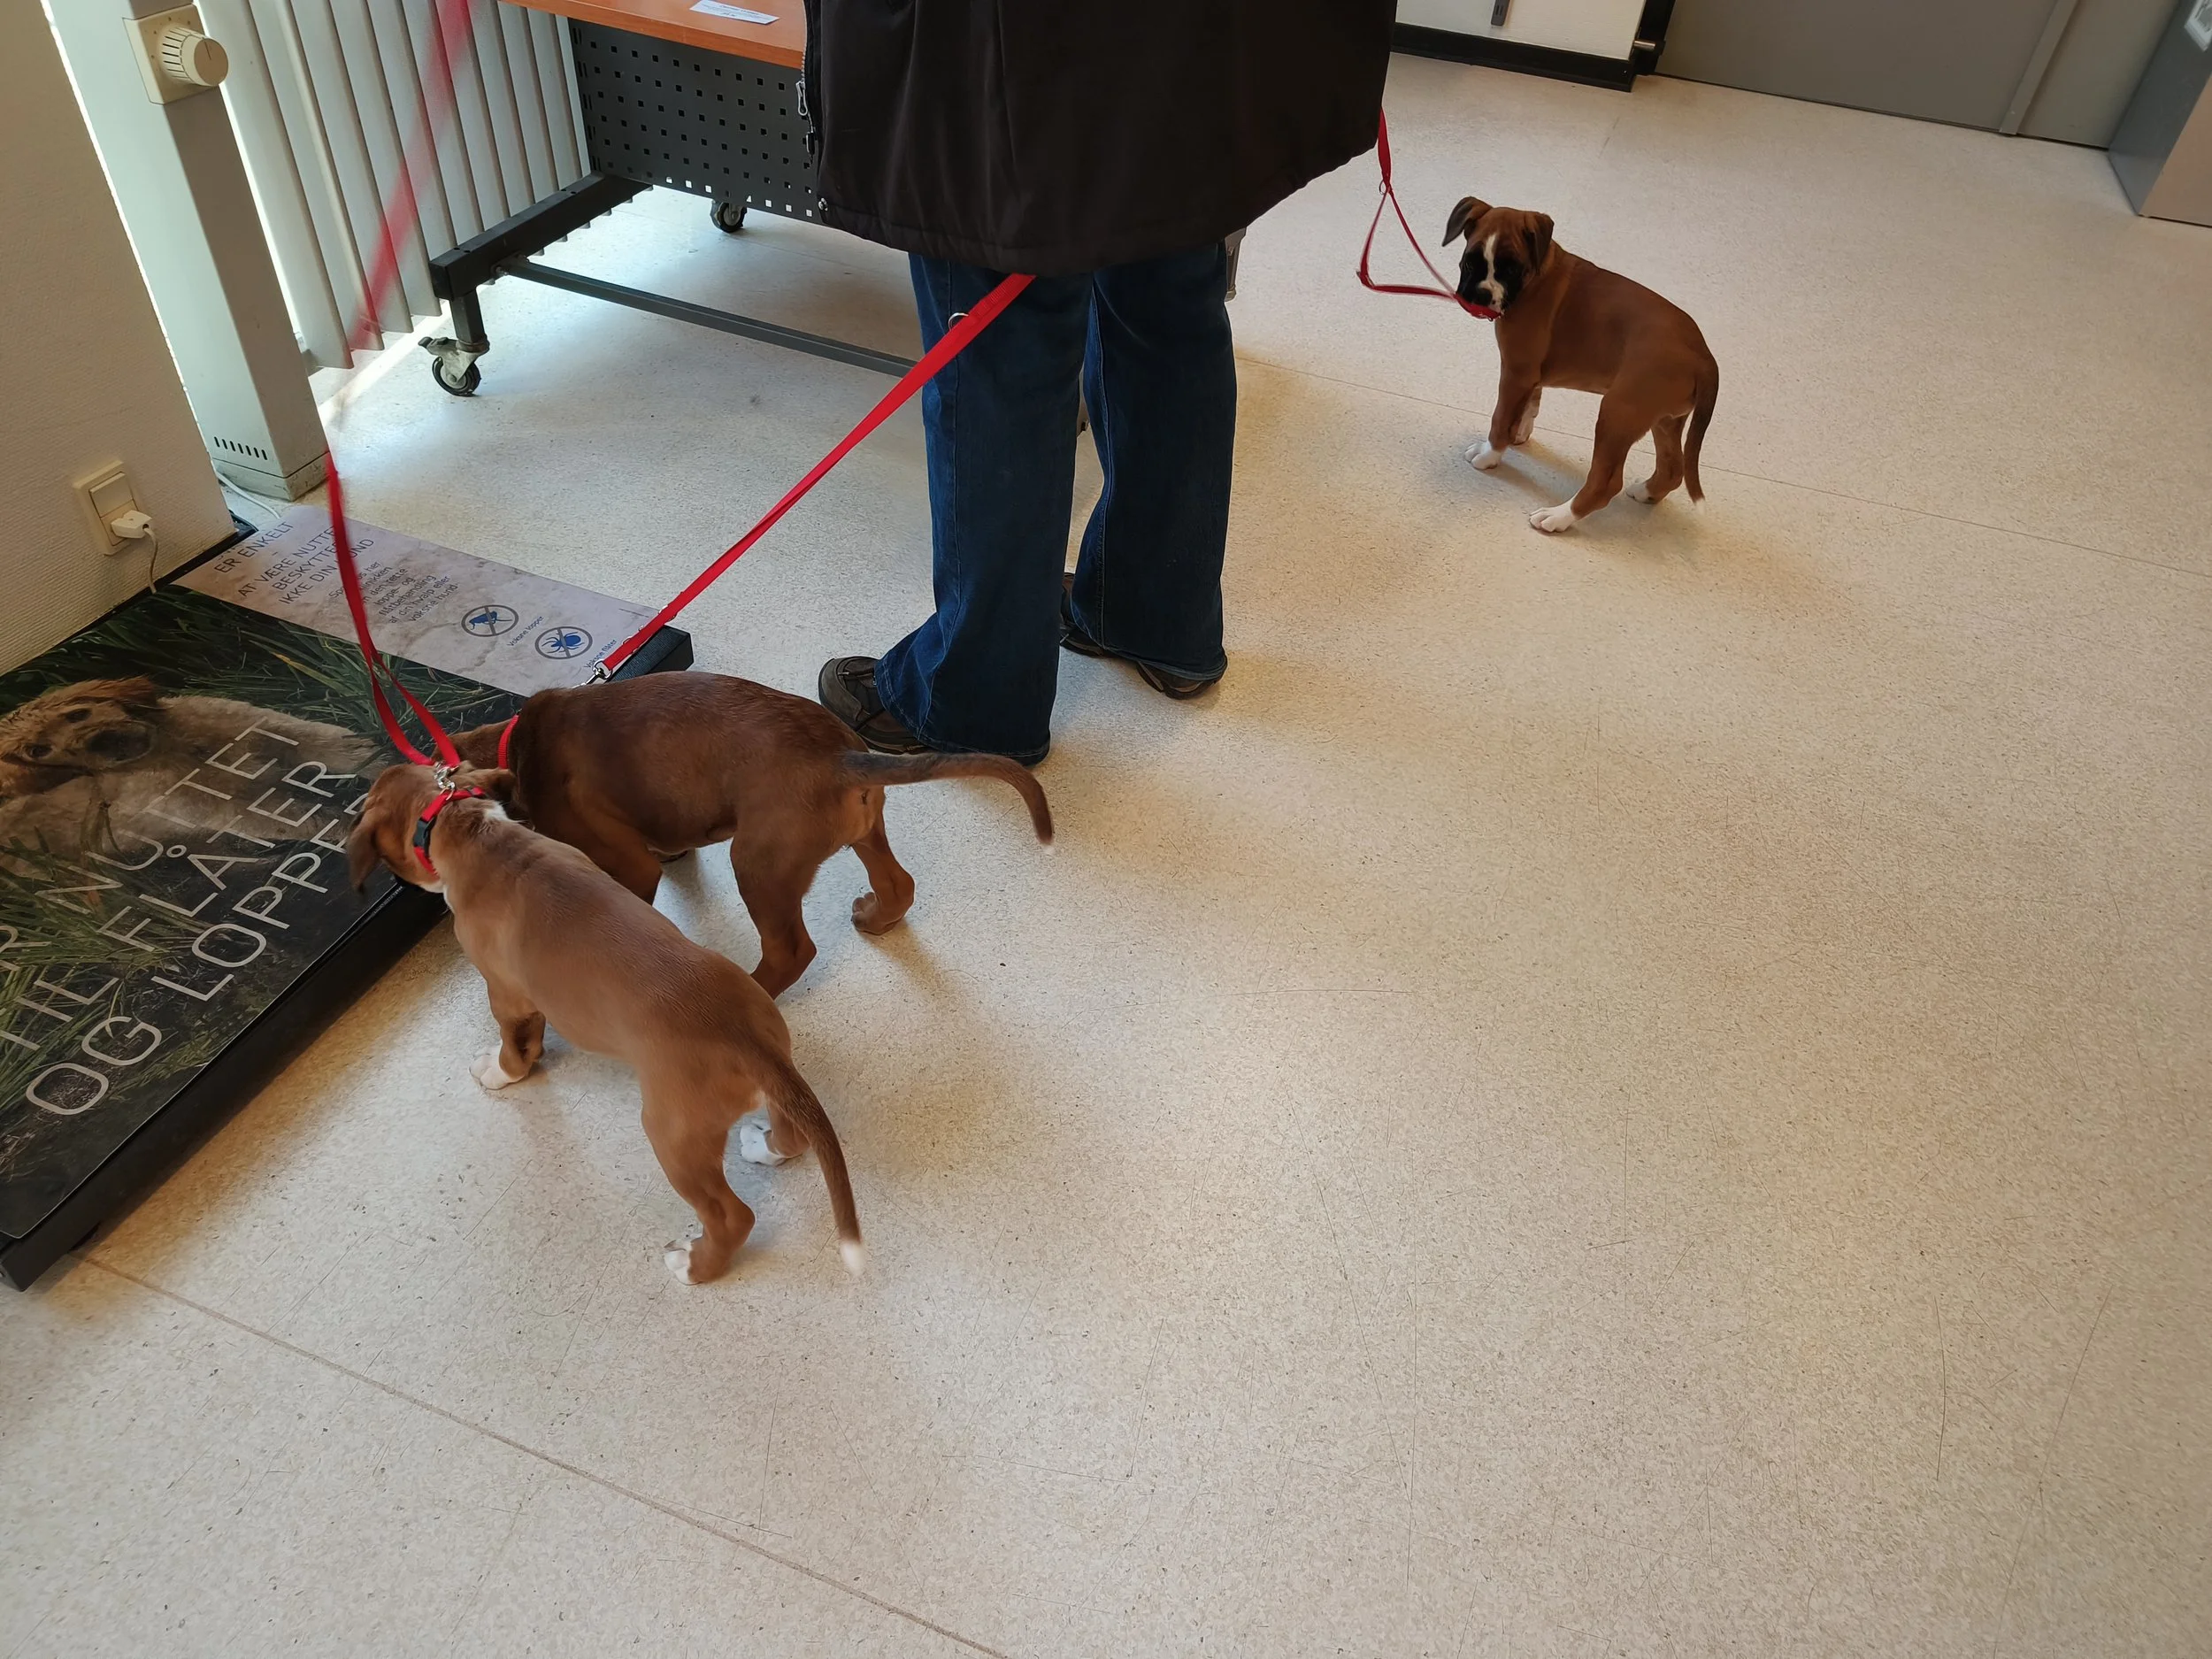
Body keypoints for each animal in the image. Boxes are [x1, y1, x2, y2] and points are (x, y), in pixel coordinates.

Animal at [346, 761, 863, 1284]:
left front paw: (500, 1071)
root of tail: (749, 1044)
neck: (471, 828)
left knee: (733, 1216)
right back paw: (763, 1147)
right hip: (776, 1079)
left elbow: (515, 1044)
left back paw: (693, 1264)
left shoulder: (506, 994)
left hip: (673, 1135)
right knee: (792, 1136)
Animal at [450, 673, 1053, 998]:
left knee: (791, 951)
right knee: (898, 884)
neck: (518, 748)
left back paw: (753, 989)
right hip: (864, 830)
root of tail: (839, 758)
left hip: (758, 864)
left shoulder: (625, 864)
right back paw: (874, 918)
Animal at [1445, 197, 1719, 533]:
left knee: (1605, 483)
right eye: (1471, 261)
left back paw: (1557, 517)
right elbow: (1530, 405)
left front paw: (1490, 455)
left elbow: (1500, 418)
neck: (1537, 276)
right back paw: (1645, 492)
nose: (1482, 295)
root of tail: (1703, 356)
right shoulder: (1531, 375)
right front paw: (1519, 434)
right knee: (1672, 469)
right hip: (1664, 419)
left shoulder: (1516, 373)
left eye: (1510, 268)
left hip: (1618, 413)